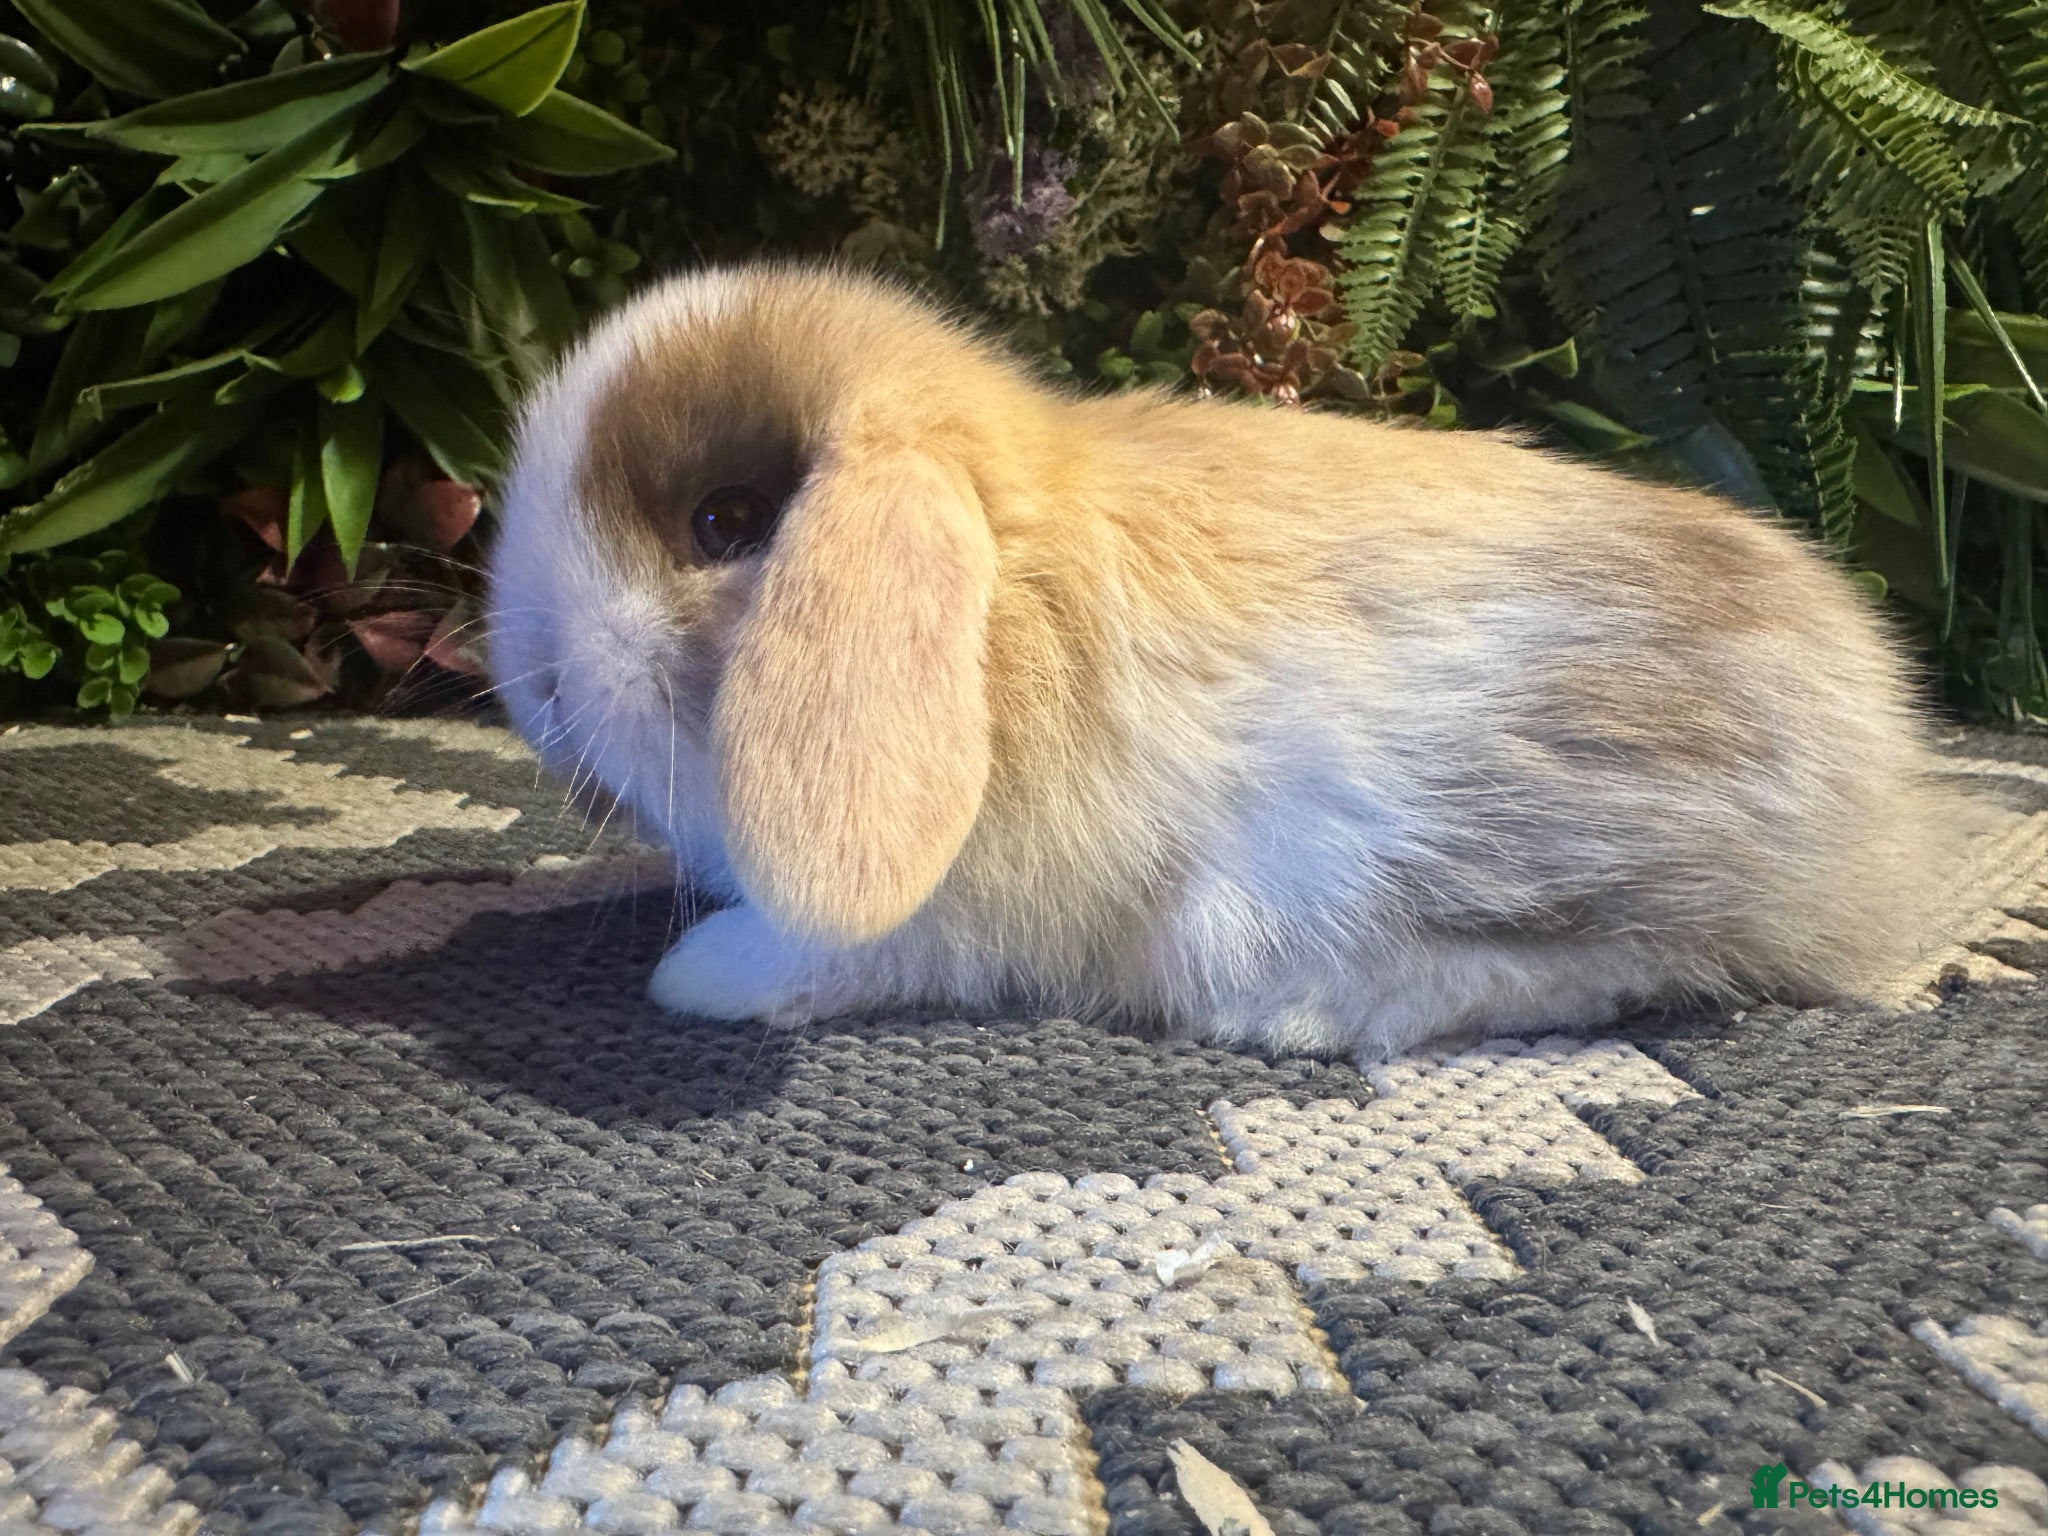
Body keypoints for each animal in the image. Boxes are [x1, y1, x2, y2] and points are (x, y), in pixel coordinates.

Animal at [485, 259, 1972, 1065]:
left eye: (725, 523)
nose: (535, 689)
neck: (1006, 602)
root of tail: (1875, 784)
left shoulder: (942, 914)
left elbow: (816, 951)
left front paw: (694, 978)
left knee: (1609, 967)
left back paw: (1302, 1014)